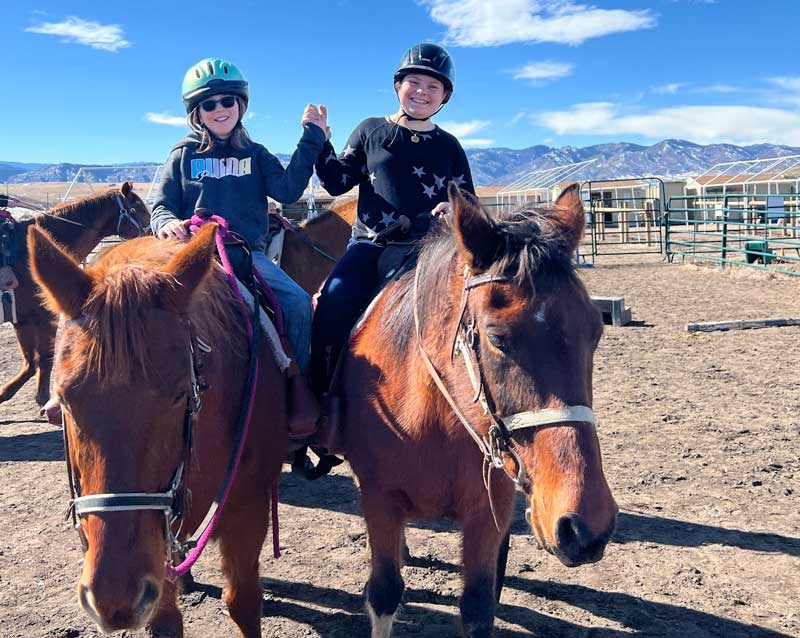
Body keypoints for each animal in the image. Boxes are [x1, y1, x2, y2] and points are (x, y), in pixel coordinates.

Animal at [0, 182, 148, 408]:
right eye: (137, 208)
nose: (151, 233)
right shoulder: (44, 317)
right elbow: (43, 359)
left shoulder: (23, 320)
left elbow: (31, 363)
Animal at [29, 222, 290, 636]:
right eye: (65, 400)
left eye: (181, 394)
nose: (114, 599)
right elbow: (165, 619)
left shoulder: (248, 505)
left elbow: (244, 602)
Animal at [324, 182, 620, 636]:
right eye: (497, 338)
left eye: (595, 331)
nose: (587, 525)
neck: (431, 423)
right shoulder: (378, 498)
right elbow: (384, 593)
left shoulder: (489, 512)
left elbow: (479, 608)